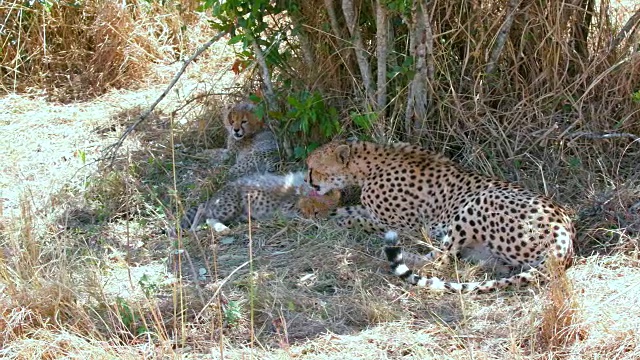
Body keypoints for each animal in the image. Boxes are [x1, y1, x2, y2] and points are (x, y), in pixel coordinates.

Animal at [304, 140, 576, 292]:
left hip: (478, 202)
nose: (308, 181)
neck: (368, 166)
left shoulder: (402, 225)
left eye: (312, 168)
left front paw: (326, 217)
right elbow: (348, 210)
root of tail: (565, 233)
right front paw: (317, 211)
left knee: (439, 261)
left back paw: (392, 256)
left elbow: (352, 218)